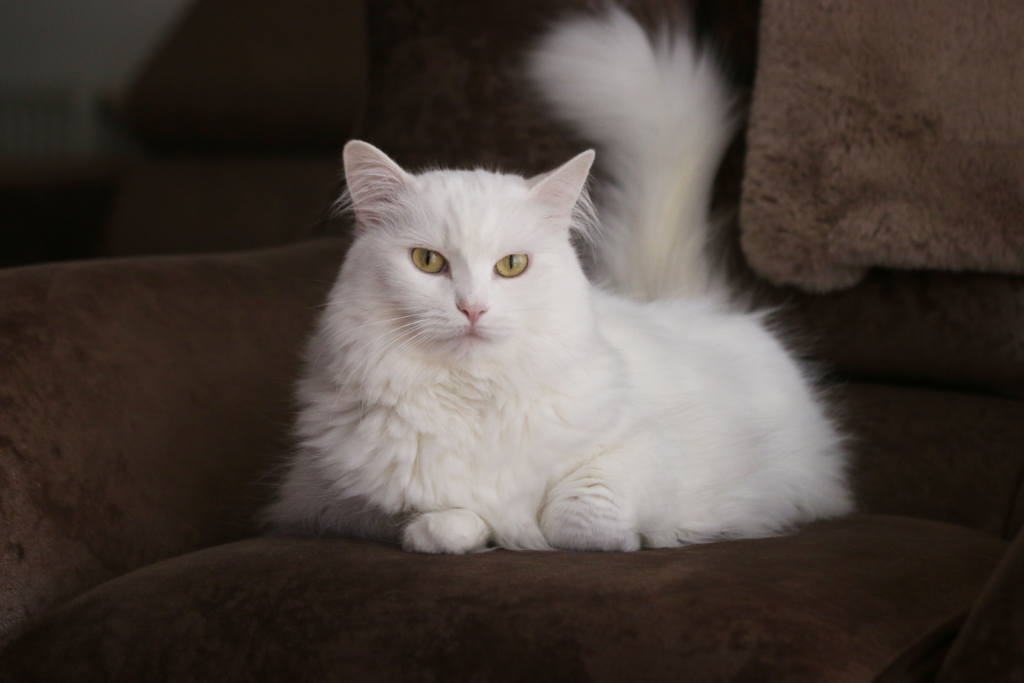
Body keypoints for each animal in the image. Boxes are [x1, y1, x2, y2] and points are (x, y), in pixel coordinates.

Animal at [264, 7, 847, 552]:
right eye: (428, 262)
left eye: (511, 266)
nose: (472, 308)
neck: (472, 400)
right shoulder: (324, 499)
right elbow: (437, 519)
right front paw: (466, 531)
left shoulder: (651, 451)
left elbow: (576, 514)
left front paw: (629, 539)